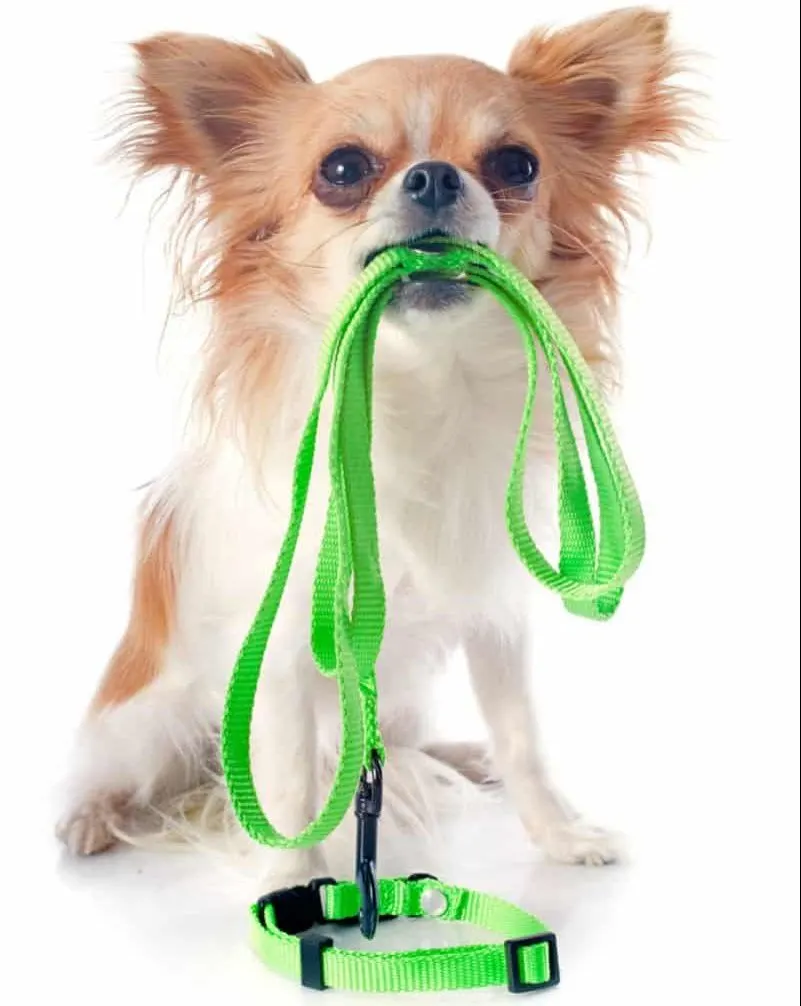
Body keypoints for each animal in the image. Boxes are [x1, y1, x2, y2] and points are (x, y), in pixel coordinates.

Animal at [56, 7, 696, 889]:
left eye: (517, 164)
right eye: (342, 168)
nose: (432, 177)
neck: (421, 383)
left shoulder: (493, 613)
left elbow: (523, 737)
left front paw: (559, 835)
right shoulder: (281, 656)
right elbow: (290, 790)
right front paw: (290, 891)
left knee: (410, 745)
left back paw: (460, 757)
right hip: (153, 720)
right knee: (125, 771)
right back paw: (92, 817)